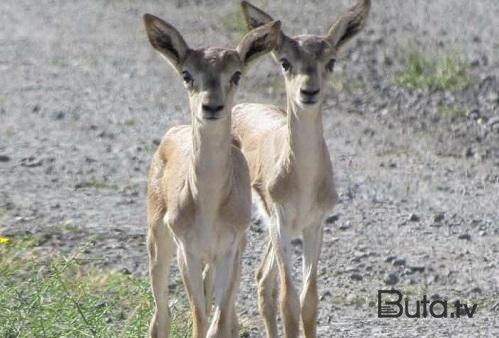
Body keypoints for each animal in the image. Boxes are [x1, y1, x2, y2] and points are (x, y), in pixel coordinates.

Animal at [144, 13, 282, 338]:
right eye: (187, 74)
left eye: (236, 74)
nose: (211, 106)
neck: (208, 206)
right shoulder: (188, 252)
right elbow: (199, 316)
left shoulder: (229, 252)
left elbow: (218, 322)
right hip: (157, 240)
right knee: (160, 317)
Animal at [232, 1, 370, 336]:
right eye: (285, 62)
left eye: (331, 61)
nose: (308, 91)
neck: (303, 182)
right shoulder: (282, 224)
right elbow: (289, 302)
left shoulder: (314, 225)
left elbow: (309, 301)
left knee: (262, 279)